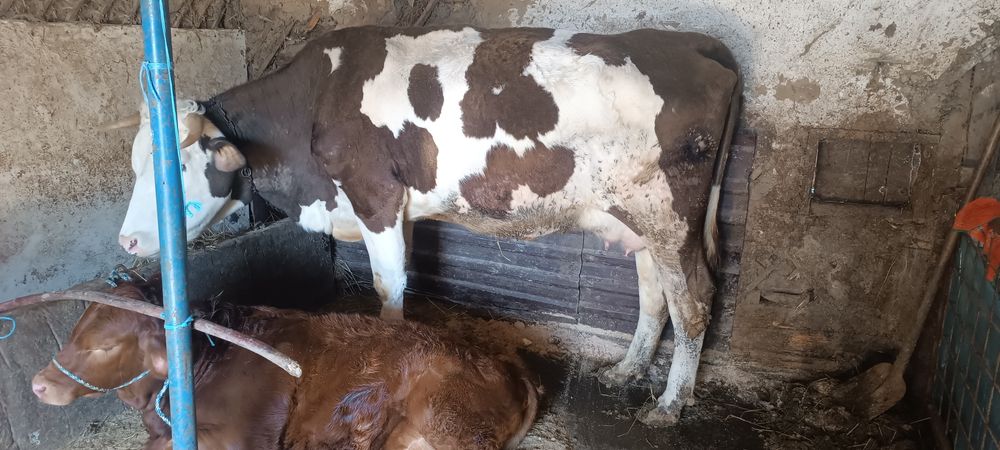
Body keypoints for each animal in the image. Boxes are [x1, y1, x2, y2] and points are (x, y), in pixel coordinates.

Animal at [30, 279, 540, 449]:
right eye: (74, 331)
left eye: (103, 347)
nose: (38, 385)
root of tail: (507, 363)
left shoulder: (237, 440)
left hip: (449, 426)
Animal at [109, 25, 741, 424]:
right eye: (134, 162)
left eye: (175, 166)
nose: (128, 240)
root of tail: (689, 42)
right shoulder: (399, 208)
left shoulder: (376, 196)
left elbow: (388, 286)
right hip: (641, 221)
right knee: (655, 296)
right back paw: (625, 371)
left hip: (669, 215)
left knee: (694, 301)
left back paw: (670, 405)